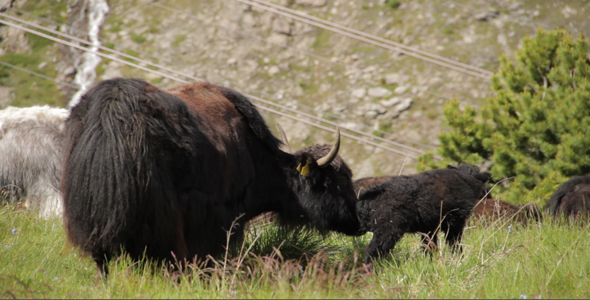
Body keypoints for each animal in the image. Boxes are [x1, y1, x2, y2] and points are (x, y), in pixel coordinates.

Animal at [358, 164, 492, 264]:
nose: (489, 196)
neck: (464, 178)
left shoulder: (429, 227)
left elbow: (430, 246)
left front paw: (430, 262)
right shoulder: (455, 222)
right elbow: (454, 244)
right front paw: (458, 259)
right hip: (388, 228)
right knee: (372, 251)